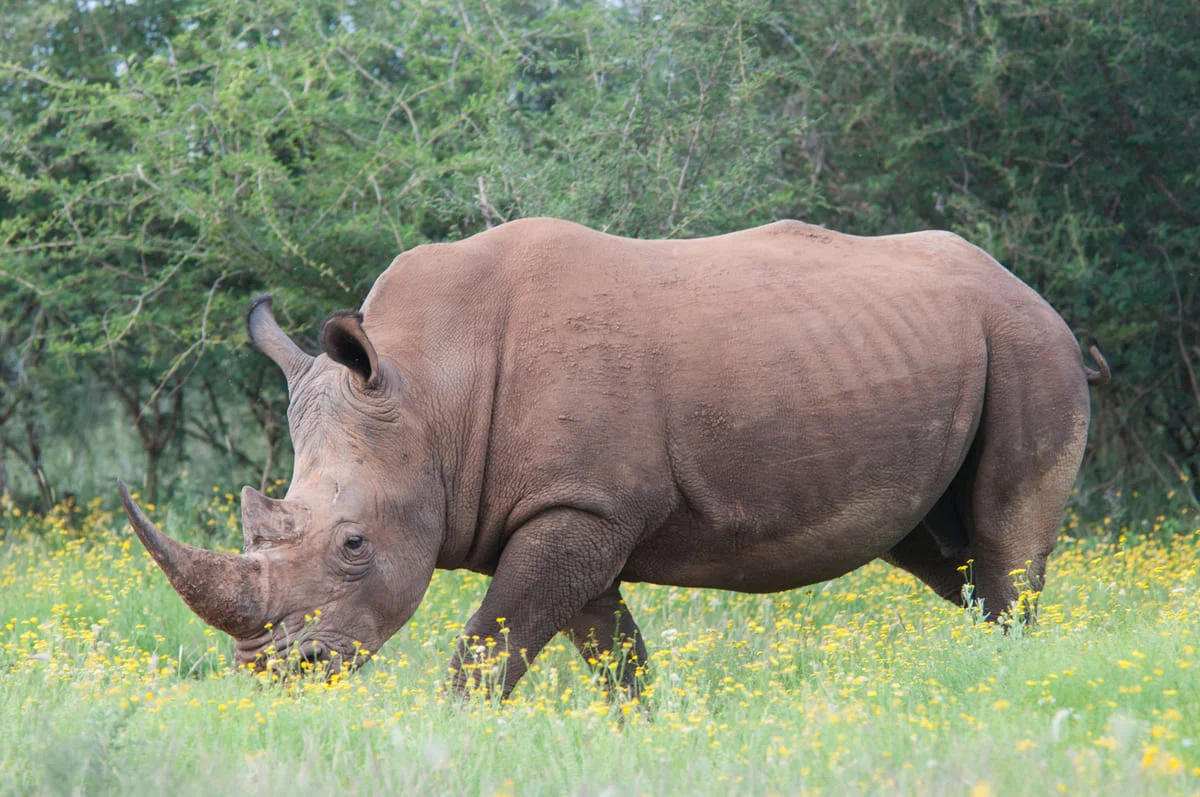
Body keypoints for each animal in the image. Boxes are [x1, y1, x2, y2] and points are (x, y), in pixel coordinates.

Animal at [117, 216, 1108, 696]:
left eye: (353, 544)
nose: (279, 672)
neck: (429, 391)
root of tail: (1040, 300)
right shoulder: (576, 508)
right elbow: (613, 656)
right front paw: (641, 733)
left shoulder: (581, 504)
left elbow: (486, 650)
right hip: (950, 349)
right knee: (947, 557)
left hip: (1030, 349)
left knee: (1004, 545)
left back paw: (1015, 678)